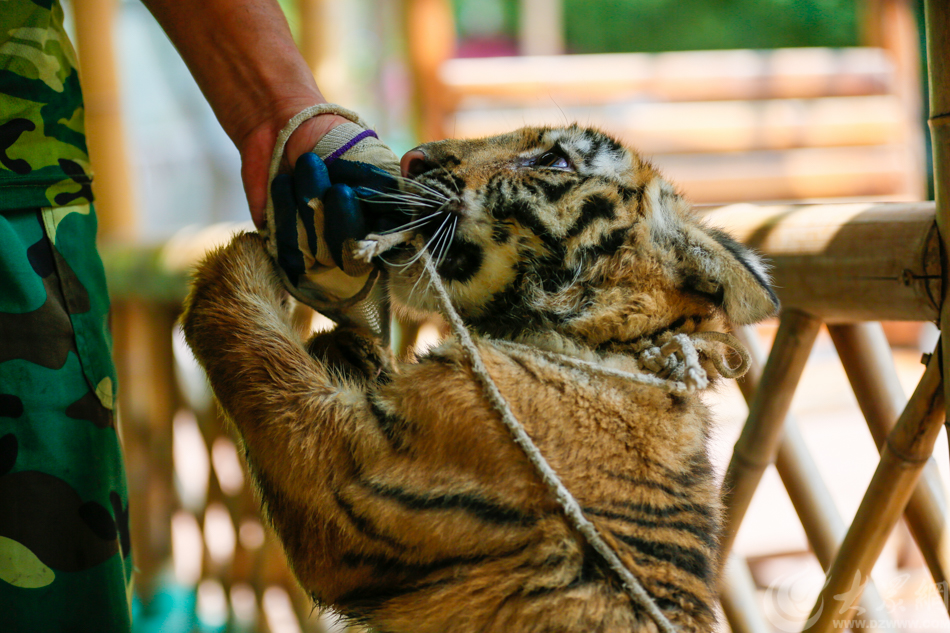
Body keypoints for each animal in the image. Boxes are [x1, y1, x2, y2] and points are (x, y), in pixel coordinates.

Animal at [181, 124, 778, 633]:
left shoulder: (353, 471)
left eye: (554, 161)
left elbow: (253, 345)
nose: (412, 158)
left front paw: (236, 255)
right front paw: (342, 342)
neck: (613, 341)